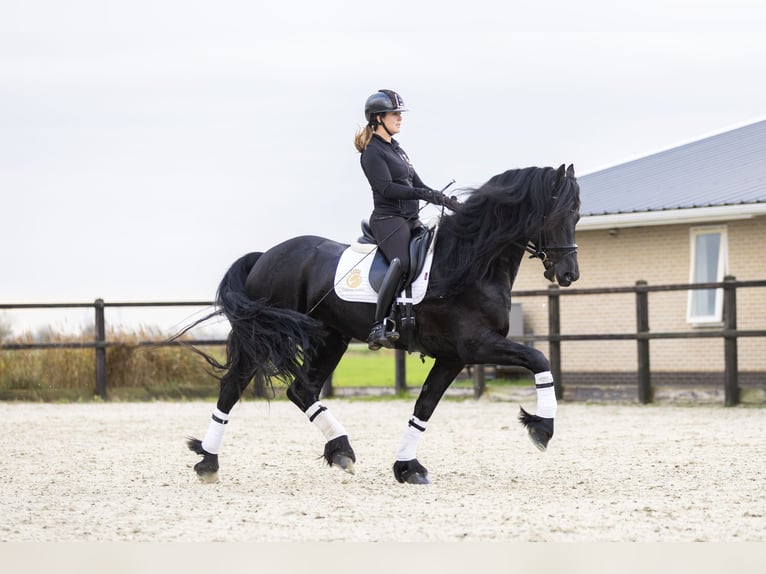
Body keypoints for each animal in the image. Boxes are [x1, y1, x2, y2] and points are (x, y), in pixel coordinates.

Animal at [184, 163, 584, 486]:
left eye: (578, 215)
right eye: (561, 213)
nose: (569, 274)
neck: (471, 262)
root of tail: (265, 256)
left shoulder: (453, 356)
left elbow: (424, 407)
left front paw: (408, 467)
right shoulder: (476, 345)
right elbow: (539, 359)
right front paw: (541, 428)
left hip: (332, 339)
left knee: (301, 390)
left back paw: (340, 451)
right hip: (265, 339)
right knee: (233, 387)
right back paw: (209, 462)